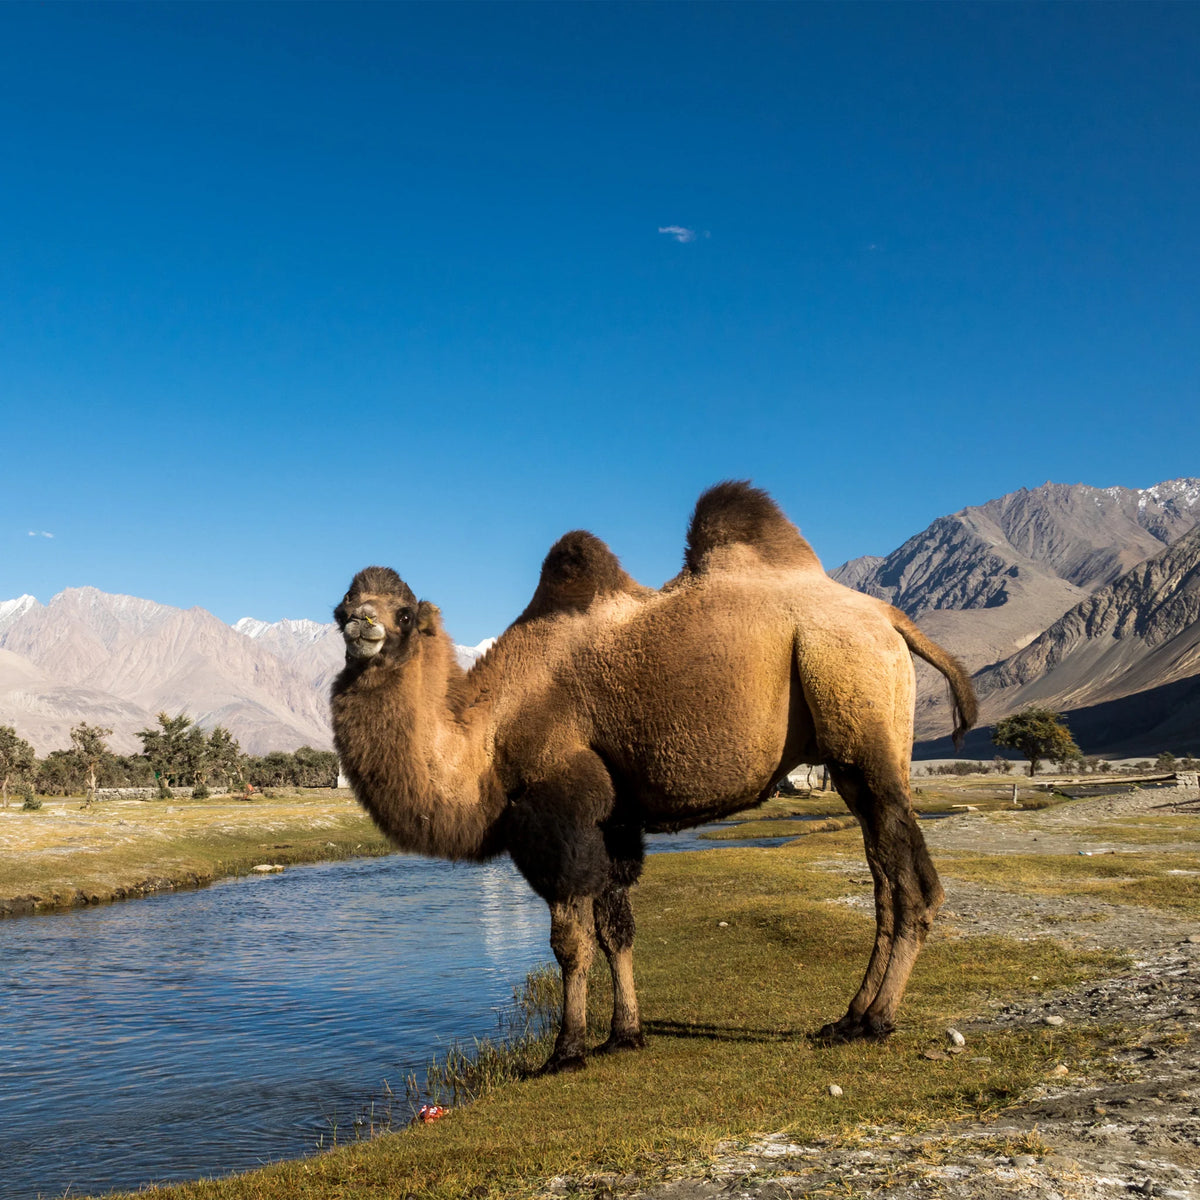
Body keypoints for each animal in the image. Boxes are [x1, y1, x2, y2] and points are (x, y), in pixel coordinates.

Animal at [330, 482, 977, 1073]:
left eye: (403, 614)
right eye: (342, 609)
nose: (362, 624)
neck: (487, 737)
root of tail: (890, 618)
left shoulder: (562, 810)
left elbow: (570, 942)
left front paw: (565, 1051)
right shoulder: (612, 820)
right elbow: (617, 928)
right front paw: (624, 1035)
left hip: (854, 698)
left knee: (913, 883)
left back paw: (876, 1021)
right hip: (854, 751)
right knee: (884, 880)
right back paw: (849, 1017)